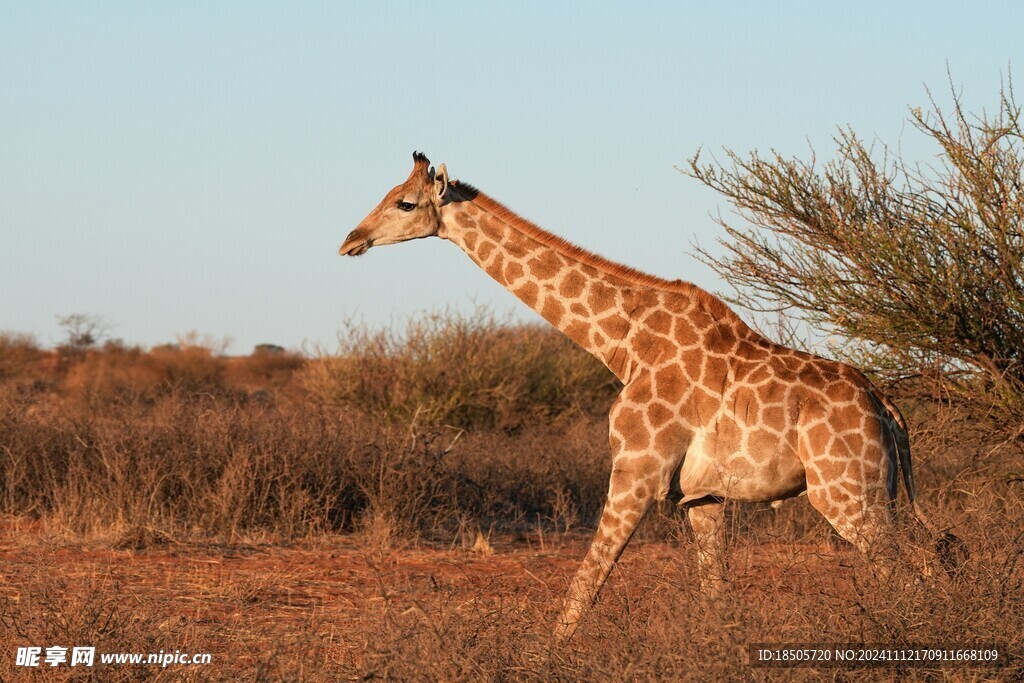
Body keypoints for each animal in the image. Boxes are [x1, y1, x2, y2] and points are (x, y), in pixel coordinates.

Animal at [339, 152, 962, 643]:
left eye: (405, 203)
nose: (350, 240)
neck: (623, 343)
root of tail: (886, 406)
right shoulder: (704, 497)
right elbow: (716, 600)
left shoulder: (637, 469)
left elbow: (586, 583)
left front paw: (544, 659)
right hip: (877, 491)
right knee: (934, 560)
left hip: (847, 492)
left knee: (910, 572)